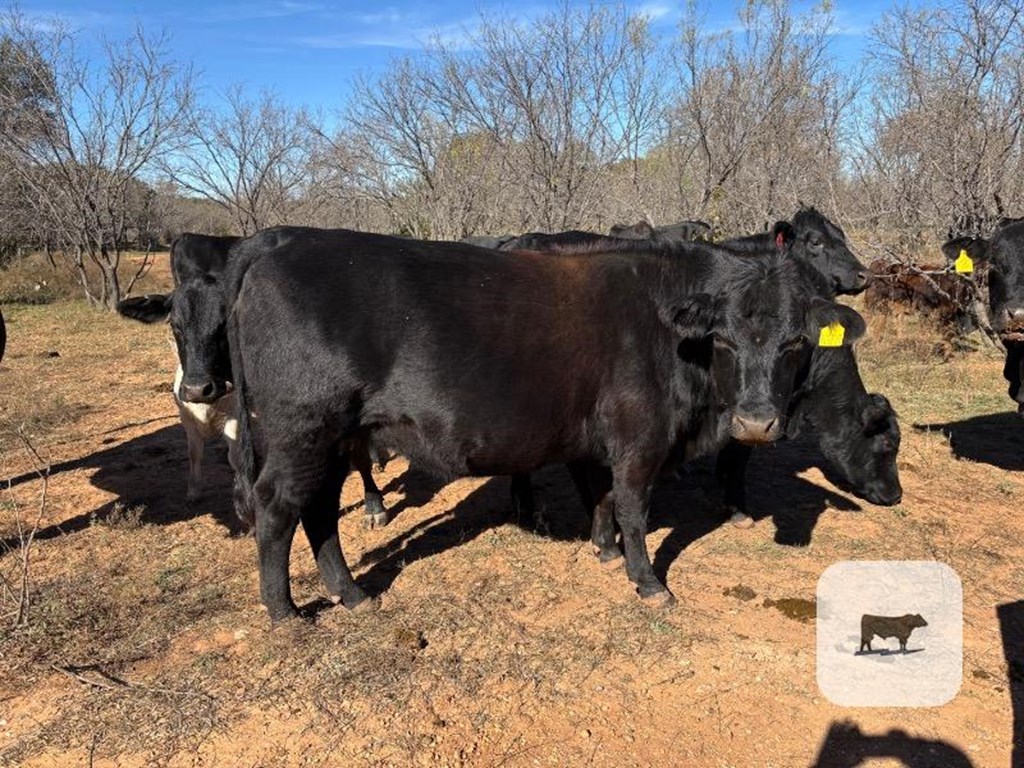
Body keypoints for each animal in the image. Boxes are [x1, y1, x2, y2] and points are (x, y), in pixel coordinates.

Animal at [224, 227, 864, 618]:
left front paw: (604, 550)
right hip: (303, 431)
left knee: (319, 510)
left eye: (795, 342)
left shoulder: (594, 438)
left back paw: (352, 594)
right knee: (278, 508)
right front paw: (647, 581)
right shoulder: (640, 438)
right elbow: (633, 507)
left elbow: (600, 497)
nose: (756, 422)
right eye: (724, 340)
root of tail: (276, 243)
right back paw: (284, 610)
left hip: (337, 439)